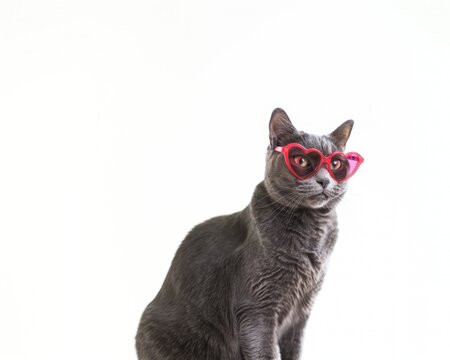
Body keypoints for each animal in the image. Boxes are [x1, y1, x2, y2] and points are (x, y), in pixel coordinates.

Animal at [135, 107, 364, 360]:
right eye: (301, 160)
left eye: (336, 164)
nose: (324, 180)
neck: (311, 230)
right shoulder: (256, 308)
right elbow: (264, 351)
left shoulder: (300, 314)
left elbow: (293, 350)